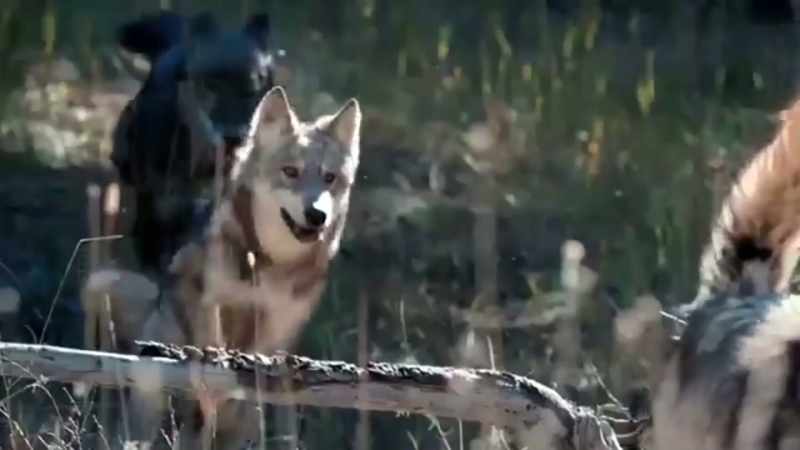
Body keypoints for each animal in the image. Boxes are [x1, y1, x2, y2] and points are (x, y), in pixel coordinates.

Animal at [84, 86, 362, 450]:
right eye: (290, 172)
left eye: (330, 178)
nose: (317, 216)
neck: (271, 264)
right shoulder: (202, 293)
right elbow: (211, 356)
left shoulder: (276, 330)